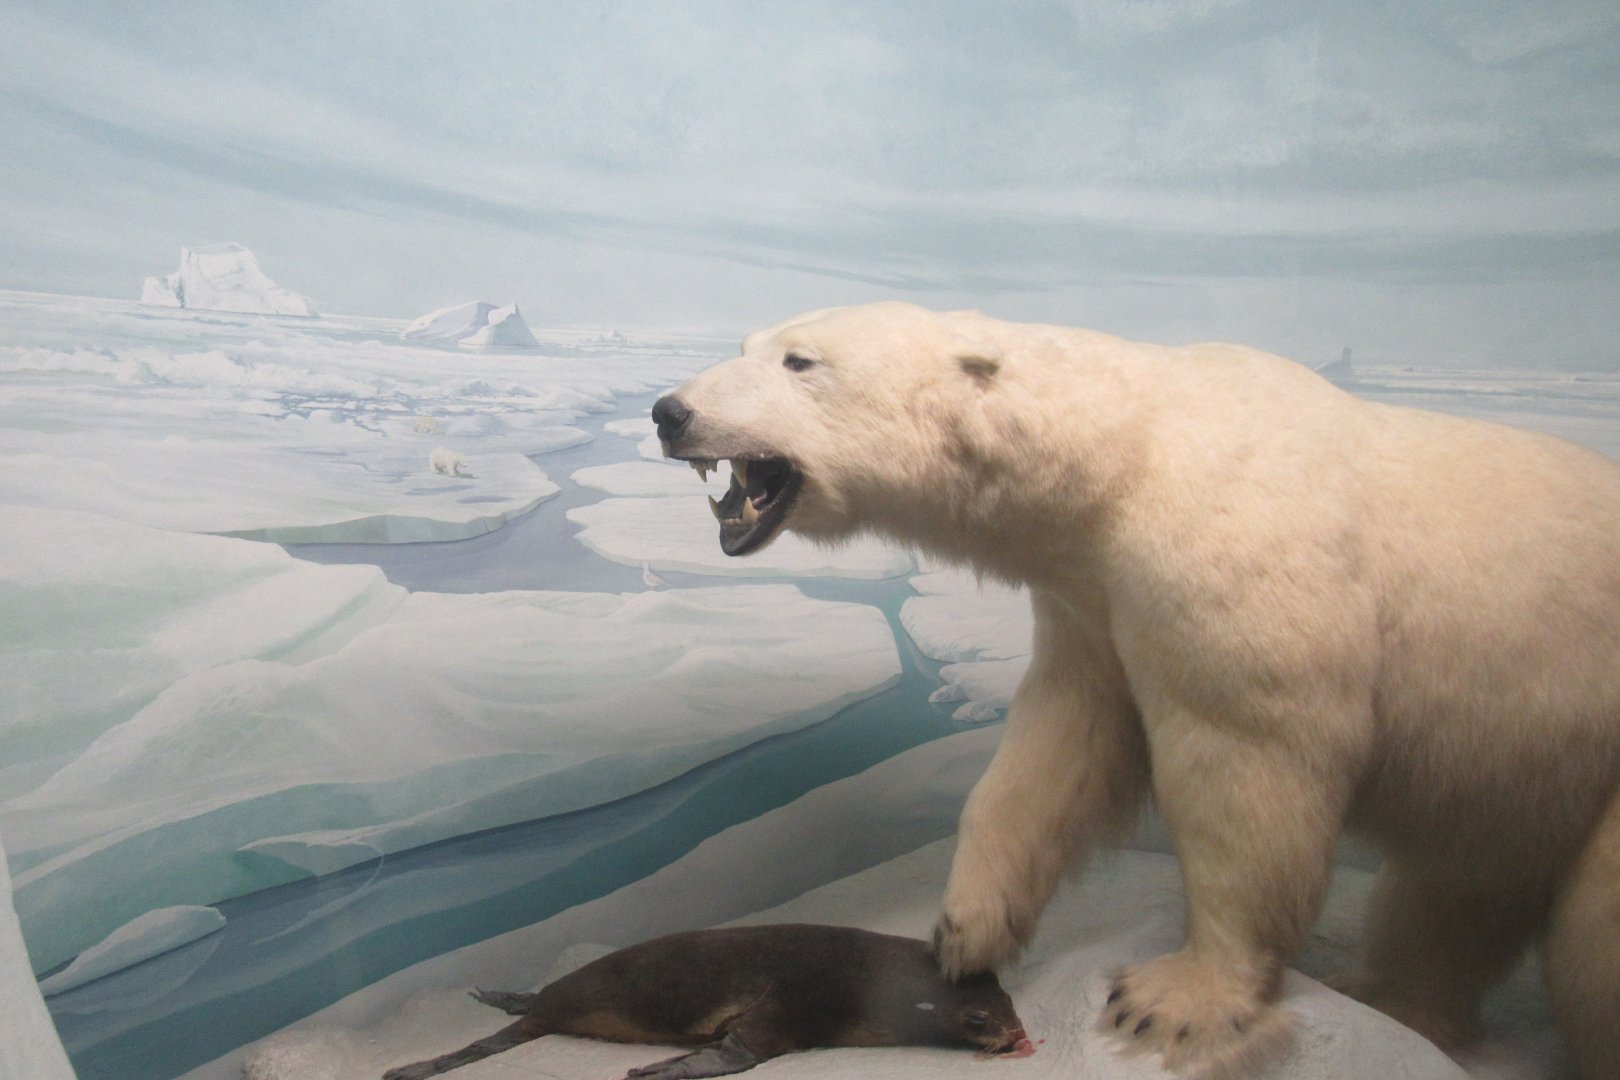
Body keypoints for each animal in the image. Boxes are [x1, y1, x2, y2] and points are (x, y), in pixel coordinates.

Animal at [651, 302, 1620, 1079]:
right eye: (745, 344)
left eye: (800, 361)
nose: (669, 411)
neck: (1130, 454)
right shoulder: (1095, 598)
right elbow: (1060, 746)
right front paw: (964, 929)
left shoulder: (1230, 562)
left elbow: (1248, 770)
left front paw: (1173, 997)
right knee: (1461, 886)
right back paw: (1393, 997)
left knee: (1583, 942)